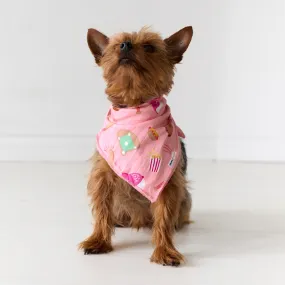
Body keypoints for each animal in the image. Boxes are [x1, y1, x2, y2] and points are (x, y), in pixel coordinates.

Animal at [79, 25, 192, 266]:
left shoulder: (167, 183)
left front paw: (165, 250)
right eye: (116, 45)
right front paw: (98, 240)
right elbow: (101, 209)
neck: (135, 106)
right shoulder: (102, 174)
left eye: (149, 47)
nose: (125, 45)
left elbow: (164, 217)